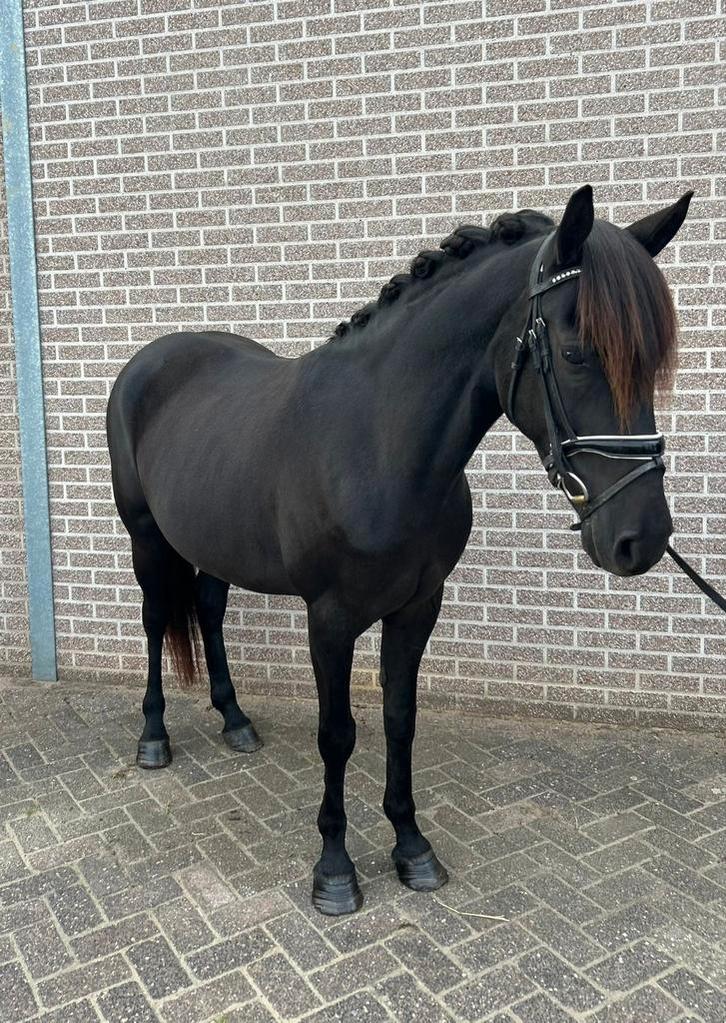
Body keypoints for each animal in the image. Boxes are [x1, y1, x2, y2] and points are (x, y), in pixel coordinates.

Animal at [106, 184, 691, 915]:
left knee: (209, 612)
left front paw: (412, 848)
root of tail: (149, 360)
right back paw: (153, 737)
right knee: (158, 620)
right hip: (146, 539)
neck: (380, 442)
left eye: (652, 361)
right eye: (578, 351)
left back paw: (235, 720)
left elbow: (399, 718)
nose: (643, 538)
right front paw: (334, 870)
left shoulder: (417, 605)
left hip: (213, 543)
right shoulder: (330, 619)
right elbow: (337, 734)